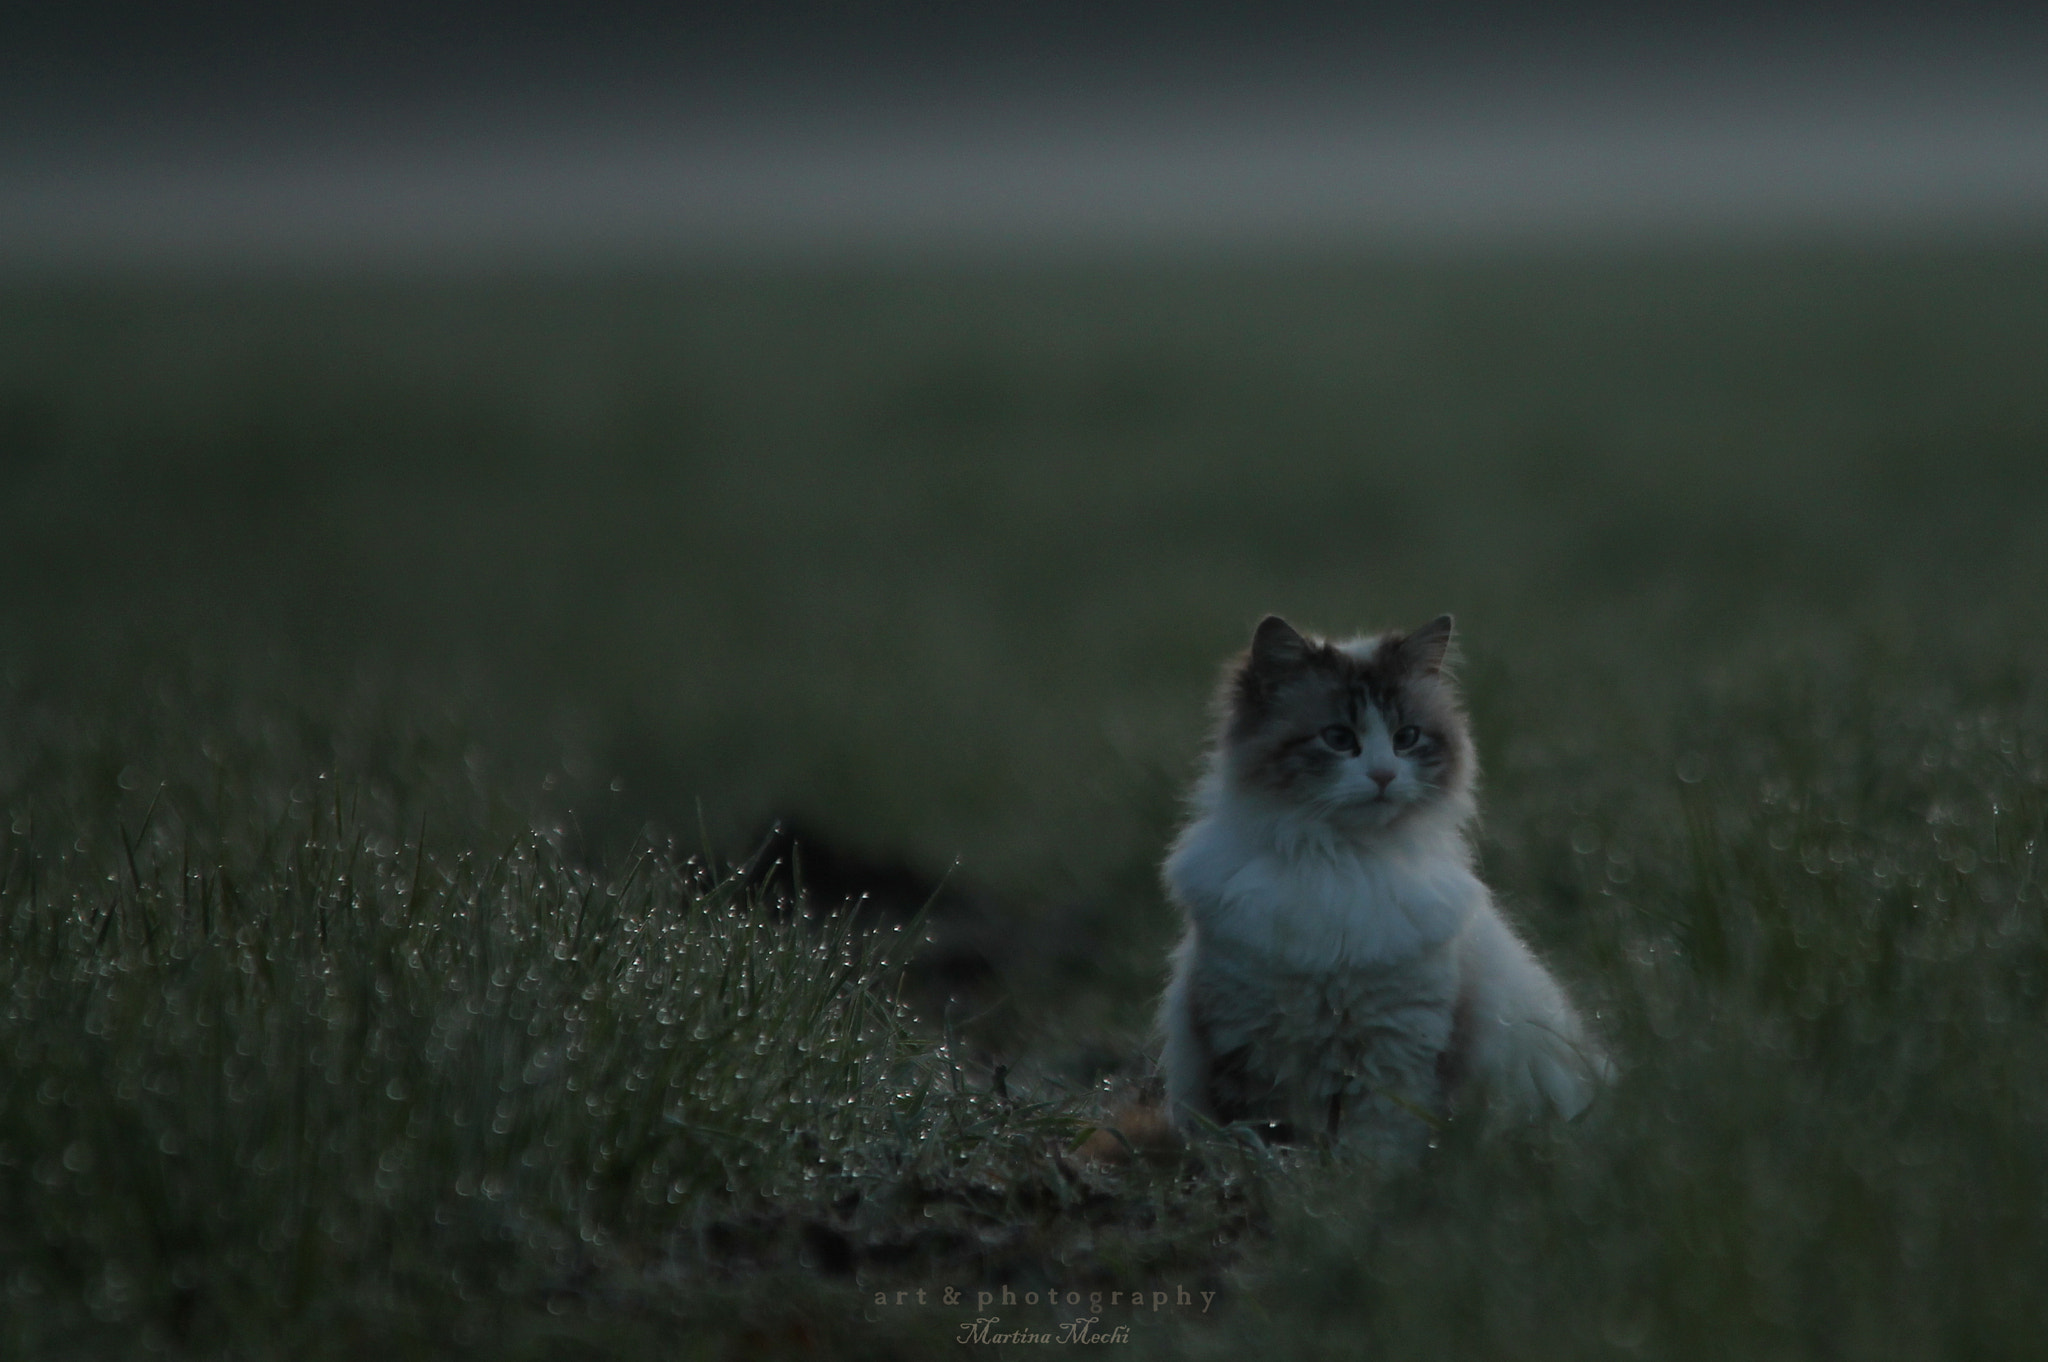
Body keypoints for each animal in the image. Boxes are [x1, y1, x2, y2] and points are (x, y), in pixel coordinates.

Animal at [1163, 610, 1605, 1155]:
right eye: (1338, 738)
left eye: (1406, 737)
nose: (1383, 776)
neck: (1343, 864)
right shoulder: (1249, 1045)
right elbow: (1266, 1138)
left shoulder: (1396, 1048)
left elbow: (1379, 1145)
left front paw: (1358, 1179)